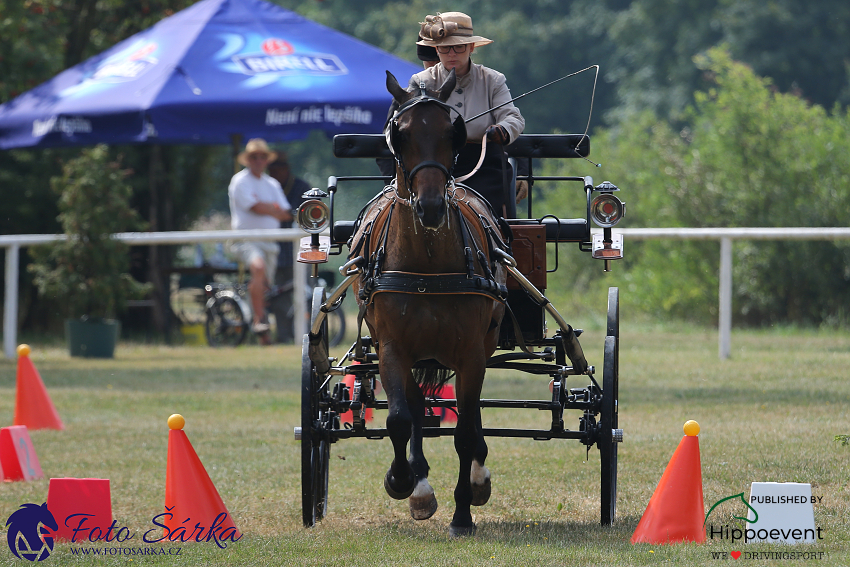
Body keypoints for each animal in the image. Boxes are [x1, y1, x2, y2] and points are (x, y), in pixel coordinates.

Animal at [348, 69, 506, 536]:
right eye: (398, 134)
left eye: (453, 131)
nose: (432, 206)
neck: (428, 264)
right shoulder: (391, 347)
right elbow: (400, 418)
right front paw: (404, 483)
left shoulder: (471, 352)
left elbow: (465, 432)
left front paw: (462, 513)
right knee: (416, 406)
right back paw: (418, 482)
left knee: (471, 416)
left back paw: (477, 478)